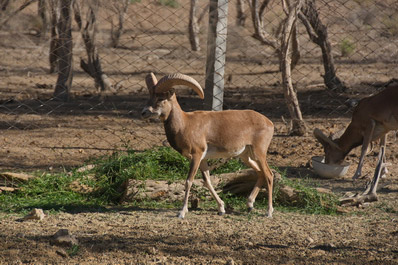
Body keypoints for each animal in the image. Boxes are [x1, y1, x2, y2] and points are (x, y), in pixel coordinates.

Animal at [141, 72, 276, 219]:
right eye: (150, 96)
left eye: (161, 98)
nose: (144, 112)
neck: (185, 124)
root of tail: (269, 123)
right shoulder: (203, 159)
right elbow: (207, 181)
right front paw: (221, 209)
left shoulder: (196, 155)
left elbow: (189, 181)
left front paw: (182, 212)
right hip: (246, 156)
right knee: (260, 173)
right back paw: (250, 205)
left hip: (259, 153)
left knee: (269, 175)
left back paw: (269, 212)